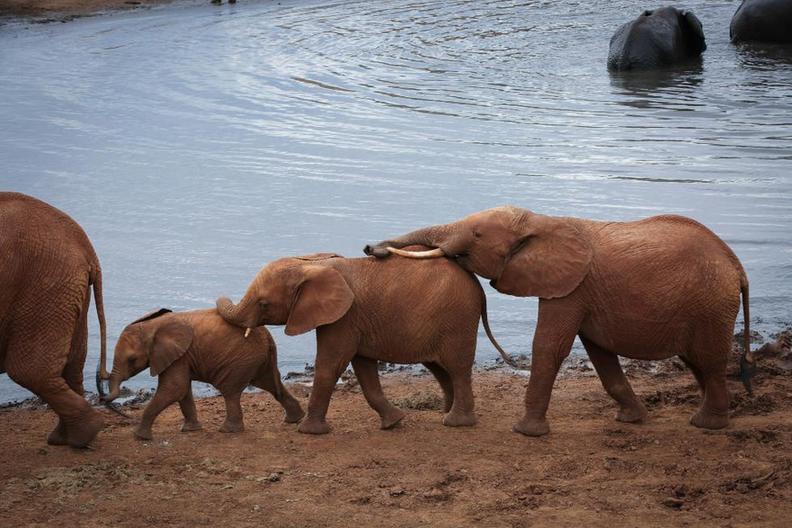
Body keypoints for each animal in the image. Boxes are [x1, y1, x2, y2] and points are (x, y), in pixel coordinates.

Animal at [0, 192, 106, 448]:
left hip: (43, 288)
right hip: (65, 292)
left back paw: (79, 437)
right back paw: (68, 438)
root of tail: (87, 249)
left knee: (28, 371)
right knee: (73, 365)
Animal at [98, 308, 306, 440]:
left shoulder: (178, 355)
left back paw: (228, 431)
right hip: (259, 361)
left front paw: (139, 436)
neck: (153, 326)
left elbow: (174, 388)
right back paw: (295, 419)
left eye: (131, 360)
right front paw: (191, 430)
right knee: (270, 384)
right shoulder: (182, 357)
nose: (102, 399)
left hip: (241, 360)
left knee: (230, 392)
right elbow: (183, 390)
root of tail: (268, 338)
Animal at [213, 254, 510, 436]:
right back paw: (445, 412)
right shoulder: (355, 322)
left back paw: (456, 422)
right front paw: (393, 422)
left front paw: (308, 432)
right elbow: (364, 368)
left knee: (457, 368)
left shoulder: (344, 318)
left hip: (457, 321)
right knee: (439, 368)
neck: (312, 264)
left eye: (263, 304)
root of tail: (478, 286)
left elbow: (331, 364)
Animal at [366, 206, 756, 438]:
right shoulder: (584, 293)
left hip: (710, 305)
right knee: (697, 362)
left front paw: (525, 431)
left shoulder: (571, 287)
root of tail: (737, 267)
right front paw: (631, 420)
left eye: (476, 235)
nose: (371, 249)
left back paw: (707, 424)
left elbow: (549, 347)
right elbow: (600, 354)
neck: (542, 221)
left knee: (708, 360)